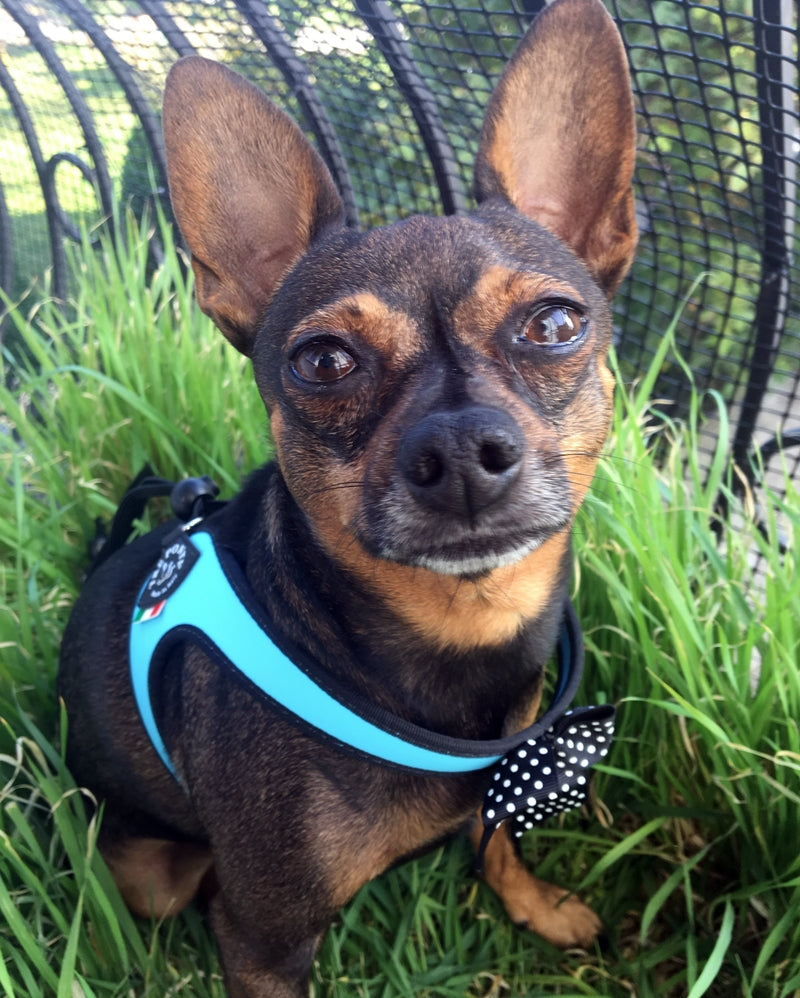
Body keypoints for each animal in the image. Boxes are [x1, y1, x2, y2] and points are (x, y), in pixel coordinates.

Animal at [57, 0, 636, 996]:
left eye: (555, 323)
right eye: (322, 361)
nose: (459, 447)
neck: (458, 639)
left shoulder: (504, 777)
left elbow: (496, 840)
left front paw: (540, 907)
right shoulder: (266, 944)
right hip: (148, 874)